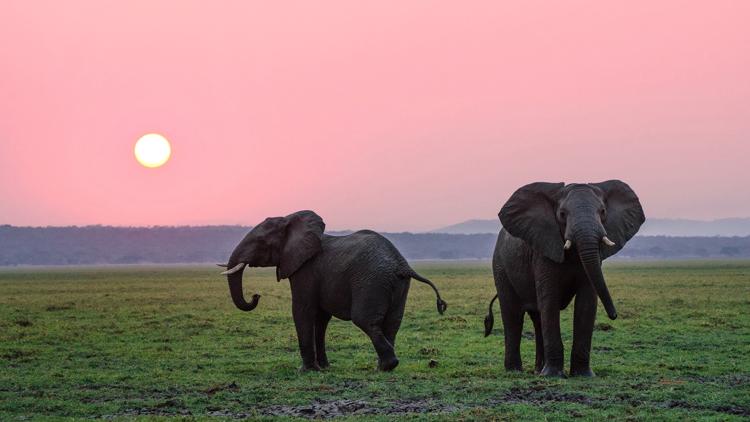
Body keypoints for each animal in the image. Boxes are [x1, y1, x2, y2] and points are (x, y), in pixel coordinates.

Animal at [220, 209, 450, 370]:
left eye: (260, 242)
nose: (255, 295)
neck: (289, 219)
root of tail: (402, 264)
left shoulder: (306, 269)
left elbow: (302, 310)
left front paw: (306, 370)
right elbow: (321, 318)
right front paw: (324, 367)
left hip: (371, 281)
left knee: (365, 320)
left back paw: (387, 366)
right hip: (397, 284)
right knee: (392, 323)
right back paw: (384, 366)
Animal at [488, 180, 648, 378]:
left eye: (603, 211)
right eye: (562, 214)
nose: (614, 315)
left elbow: (587, 302)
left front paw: (583, 375)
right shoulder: (544, 248)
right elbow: (549, 300)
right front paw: (553, 375)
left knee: (537, 319)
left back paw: (538, 370)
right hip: (500, 266)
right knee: (513, 315)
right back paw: (515, 371)